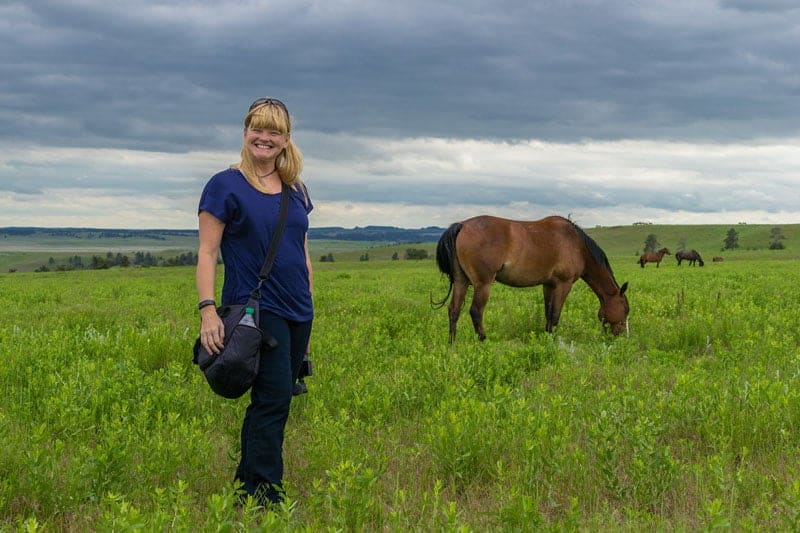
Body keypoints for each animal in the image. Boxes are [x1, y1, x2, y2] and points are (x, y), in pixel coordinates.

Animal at [434, 215, 628, 342]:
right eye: (626, 310)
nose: (622, 336)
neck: (577, 245)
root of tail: (462, 226)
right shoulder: (563, 284)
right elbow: (555, 315)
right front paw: (554, 341)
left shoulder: (548, 285)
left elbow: (548, 313)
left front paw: (547, 336)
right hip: (483, 284)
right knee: (475, 311)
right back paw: (483, 339)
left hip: (461, 282)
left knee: (453, 310)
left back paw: (452, 343)